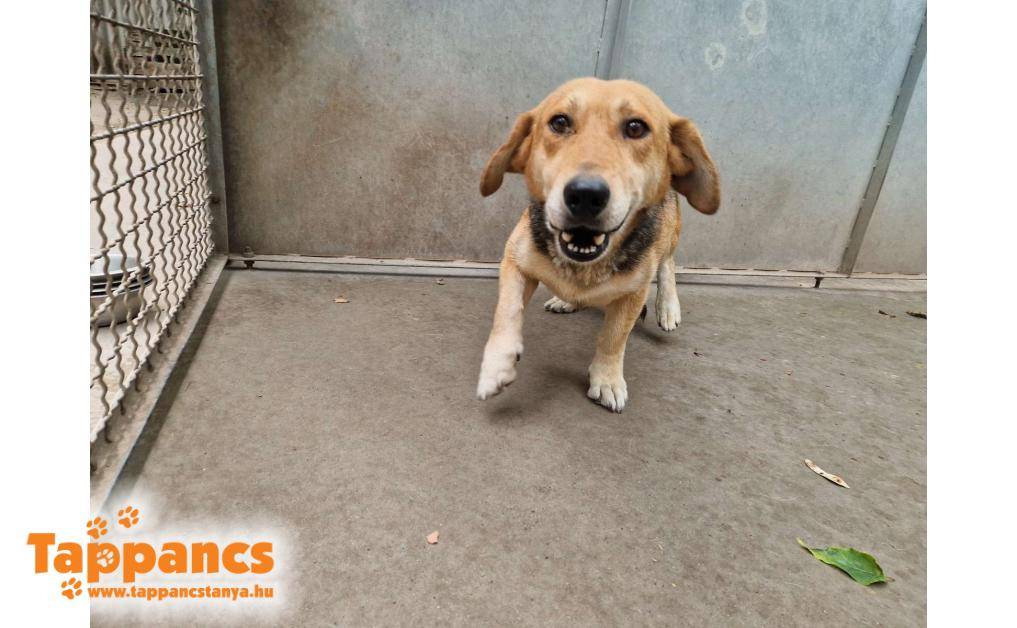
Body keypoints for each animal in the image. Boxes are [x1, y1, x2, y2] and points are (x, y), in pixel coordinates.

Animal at [475, 77, 720, 412]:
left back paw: (668, 307)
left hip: (668, 231)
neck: (582, 268)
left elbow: (613, 338)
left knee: (667, 263)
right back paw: (566, 300)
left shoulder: (634, 292)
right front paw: (496, 366)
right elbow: (507, 311)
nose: (585, 194)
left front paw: (607, 380)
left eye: (635, 127)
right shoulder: (514, 259)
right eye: (560, 122)